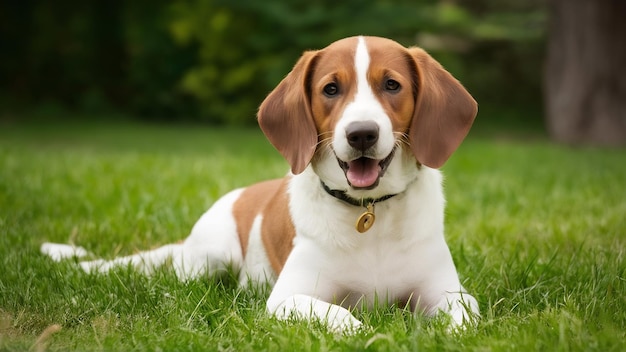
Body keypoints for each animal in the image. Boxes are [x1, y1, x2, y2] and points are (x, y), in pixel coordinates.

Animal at [40, 35, 478, 332]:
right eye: (331, 89)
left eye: (391, 85)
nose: (362, 134)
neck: (369, 212)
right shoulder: (287, 298)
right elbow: (338, 314)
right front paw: (365, 331)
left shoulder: (447, 294)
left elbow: (464, 318)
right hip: (211, 257)